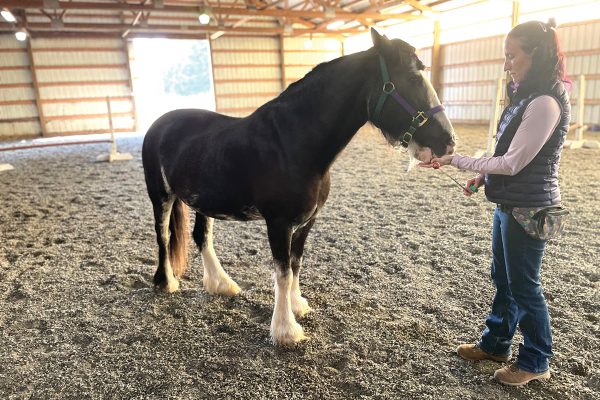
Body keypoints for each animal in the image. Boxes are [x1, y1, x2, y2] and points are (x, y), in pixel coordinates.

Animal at [144, 29, 454, 346]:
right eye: (413, 78)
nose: (448, 141)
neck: (292, 144)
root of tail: (161, 123)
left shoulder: (307, 221)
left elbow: (295, 265)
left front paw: (297, 306)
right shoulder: (278, 223)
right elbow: (282, 272)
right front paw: (285, 331)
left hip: (203, 201)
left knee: (201, 237)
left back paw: (221, 284)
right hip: (161, 195)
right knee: (163, 235)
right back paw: (166, 282)